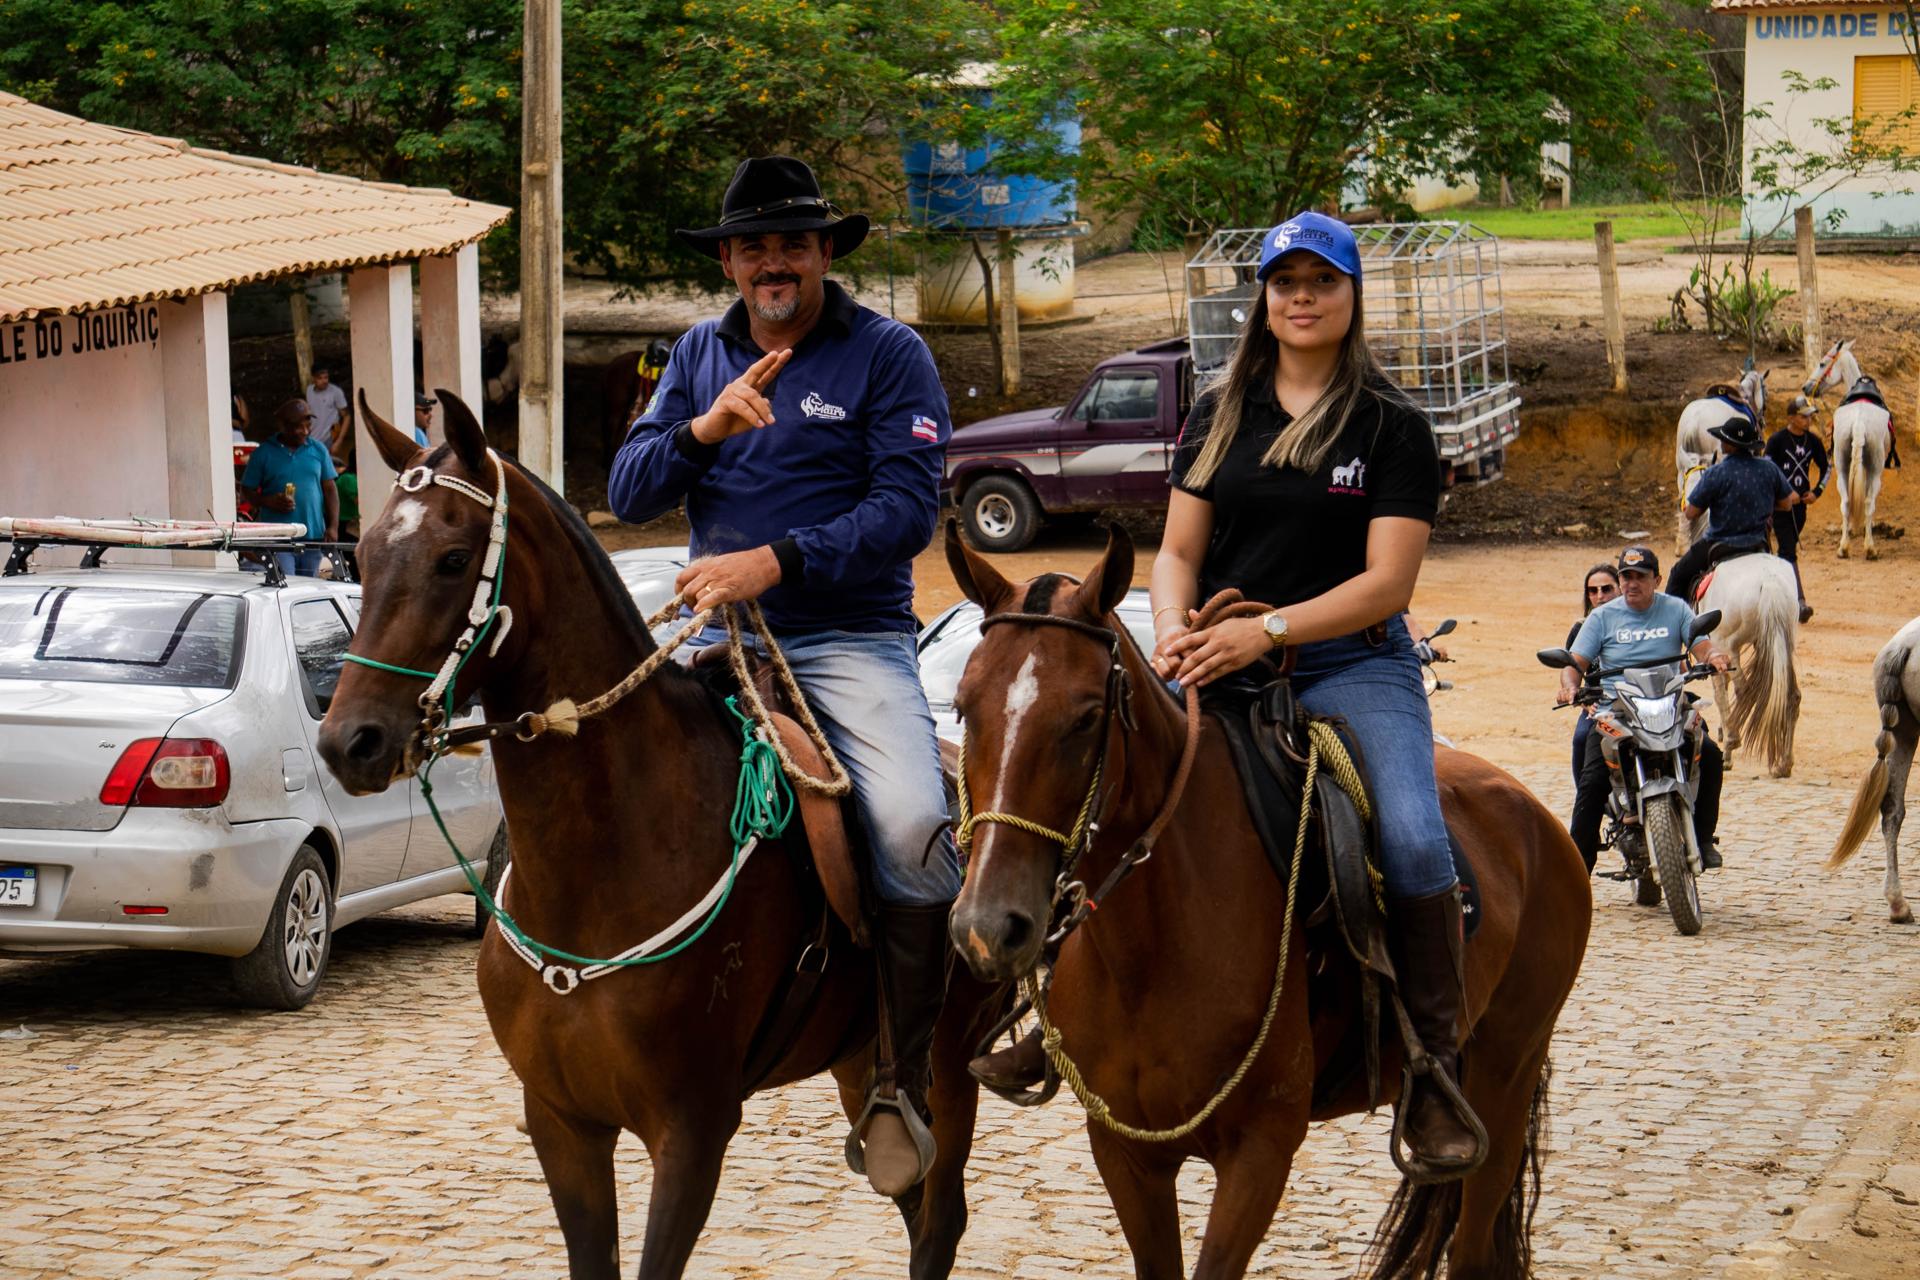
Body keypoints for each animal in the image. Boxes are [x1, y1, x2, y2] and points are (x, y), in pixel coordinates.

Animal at [316, 391, 993, 1280]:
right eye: (360, 556)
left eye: (454, 559)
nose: (348, 742)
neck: (603, 868)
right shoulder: (563, 1124)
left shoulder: (693, 1132)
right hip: (857, 1057)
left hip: (941, 1078)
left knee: (937, 1218)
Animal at [942, 527, 1591, 1279]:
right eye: (964, 706)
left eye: (1086, 718)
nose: (988, 927)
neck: (1155, 948)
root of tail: (1539, 820)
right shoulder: (1126, 1153)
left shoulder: (1260, 1153)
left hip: (1504, 1084)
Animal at [1697, 553, 1801, 778]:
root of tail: (1770, 581)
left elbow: (1721, 692)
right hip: (1780, 641)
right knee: (1791, 696)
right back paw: (1784, 764)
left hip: (1728, 644)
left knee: (1741, 690)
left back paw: (1731, 744)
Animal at [1804, 339, 1894, 560]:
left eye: (1822, 363)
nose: (1805, 387)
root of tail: (1859, 421)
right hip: (1875, 468)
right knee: (1869, 501)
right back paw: (1870, 548)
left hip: (1842, 464)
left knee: (1845, 501)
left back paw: (1843, 547)